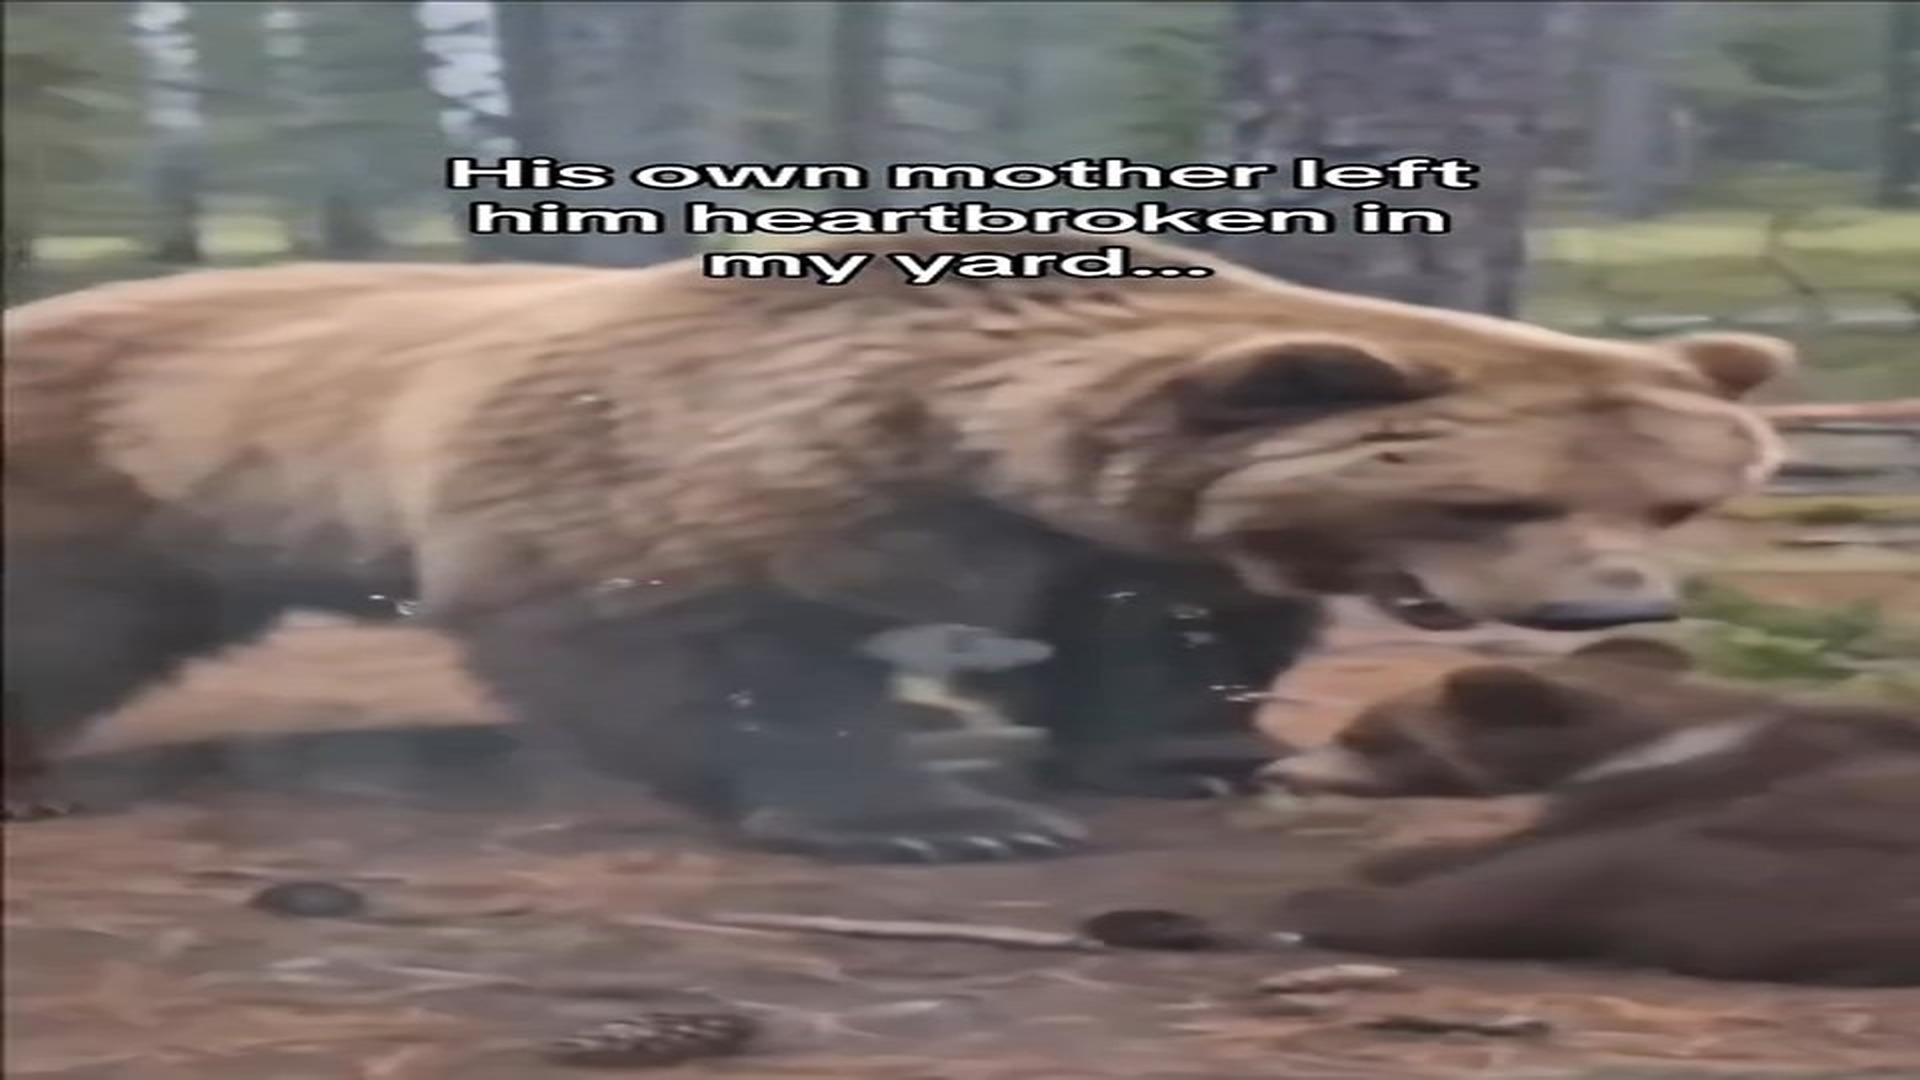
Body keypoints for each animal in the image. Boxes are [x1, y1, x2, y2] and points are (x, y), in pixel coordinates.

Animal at [1, 231, 1795, 863]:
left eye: (1674, 503)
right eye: (1491, 504)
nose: (1603, 608)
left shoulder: (1098, 533)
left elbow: (1154, 628)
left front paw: (1194, 754)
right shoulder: (698, 466)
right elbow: (696, 645)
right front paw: (938, 815)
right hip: (118, 476)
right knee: (56, 628)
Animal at [1263, 637, 1920, 986]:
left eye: (1363, 735)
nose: (1277, 771)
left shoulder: (1672, 790)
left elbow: (1525, 849)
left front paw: (1394, 859)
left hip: (1798, 862)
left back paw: (1320, 904)